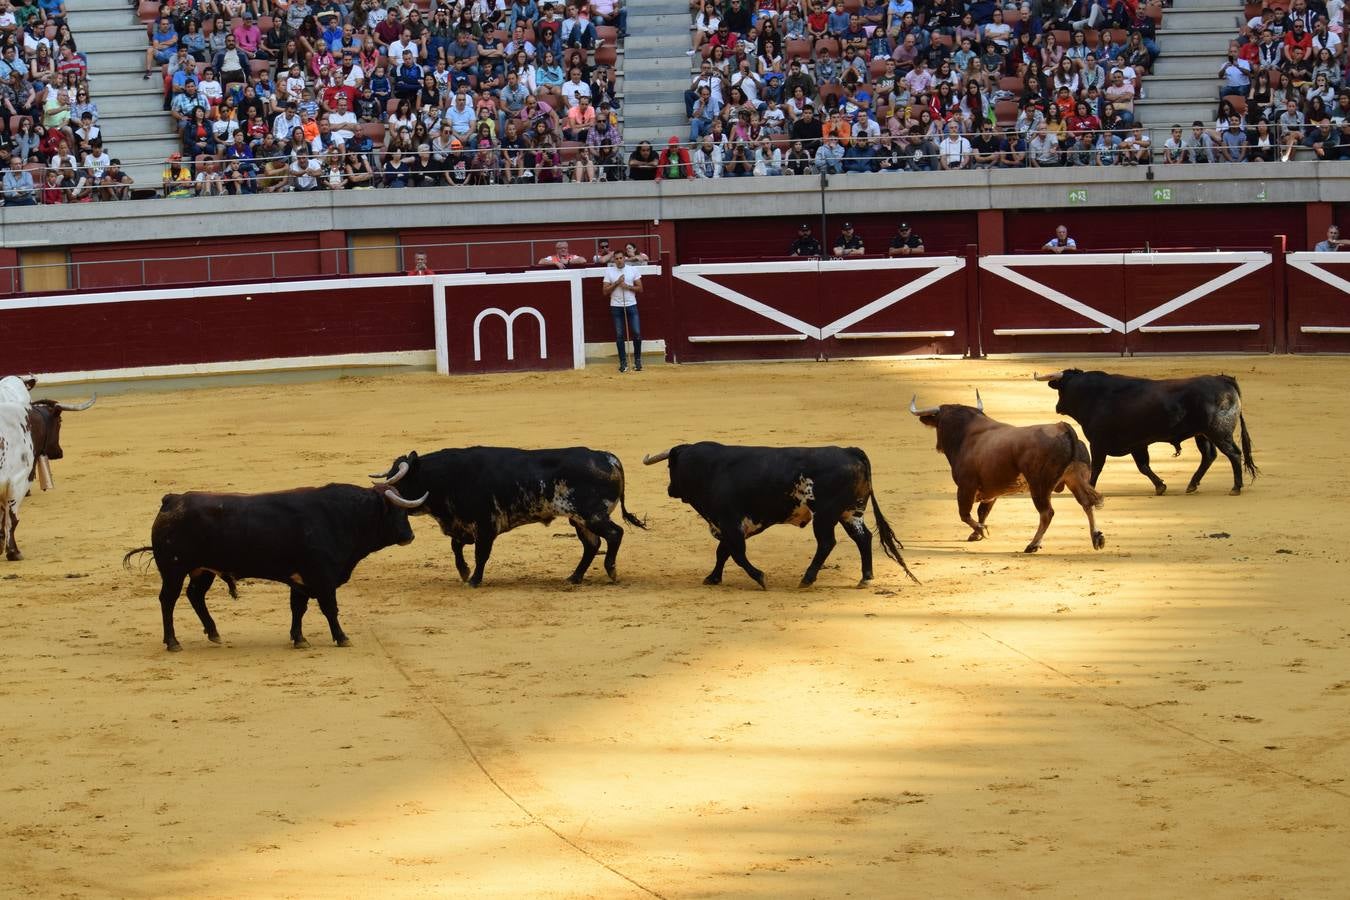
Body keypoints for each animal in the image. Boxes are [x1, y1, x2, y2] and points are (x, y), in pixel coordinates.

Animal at [125, 483, 426, 650]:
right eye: (398, 511)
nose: (410, 536)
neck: (345, 516)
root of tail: (172, 499)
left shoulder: (301, 580)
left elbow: (298, 609)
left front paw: (299, 639)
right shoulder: (322, 577)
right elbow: (330, 609)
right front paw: (342, 638)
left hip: (202, 570)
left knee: (195, 596)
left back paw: (213, 633)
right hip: (173, 570)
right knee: (168, 600)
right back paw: (173, 642)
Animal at [642, 442, 918, 591]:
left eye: (670, 466)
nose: (670, 489)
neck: (708, 470)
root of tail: (850, 451)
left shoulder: (730, 522)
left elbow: (737, 554)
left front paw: (760, 578)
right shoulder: (729, 526)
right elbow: (723, 552)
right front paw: (713, 577)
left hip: (825, 515)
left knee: (827, 543)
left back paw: (807, 579)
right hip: (850, 512)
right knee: (863, 538)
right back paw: (866, 578)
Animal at [907, 391, 1107, 553]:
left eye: (939, 424)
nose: (938, 446)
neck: (966, 434)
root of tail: (1063, 427)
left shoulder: (965, 486)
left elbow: (964, 514)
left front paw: (982, 531)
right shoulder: (991, 491)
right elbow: (982, 511)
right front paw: (976, 534)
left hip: (1039, 486)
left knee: (1047, 513)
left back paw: (1033, 544)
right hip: (1075, 479)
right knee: (1087, 503)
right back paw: (1097, 537)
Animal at [1036, 367, 1258, 496]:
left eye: (1060, 388)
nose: (1057, 407)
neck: (1093, 395)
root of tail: (1223, 380)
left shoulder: (1098, 443)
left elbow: (1096, 467)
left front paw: (1090, 488)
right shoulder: (1137, 444)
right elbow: (1143, 466)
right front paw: (1160, 486)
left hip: (1219, 432)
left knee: (1233, 454)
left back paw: (1236, 487)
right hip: (1202, 434)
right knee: (1209, 456)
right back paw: (1192, 485)